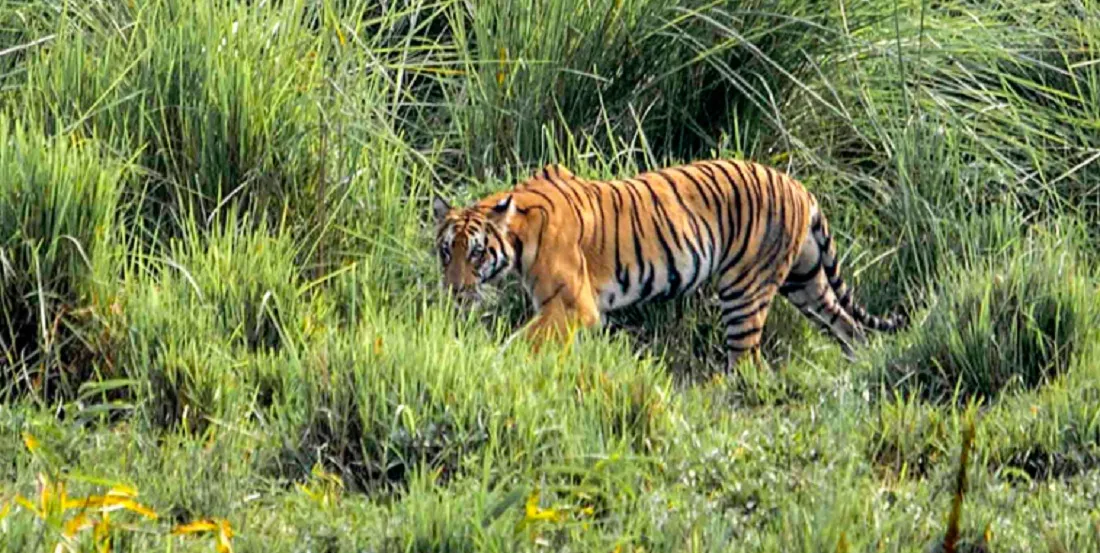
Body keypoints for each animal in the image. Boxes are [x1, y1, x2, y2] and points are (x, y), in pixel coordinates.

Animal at [433, 158, 906, 369]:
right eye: (446, 251)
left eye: (477, 252)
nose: (454, 290)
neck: (519, 233)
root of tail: (799, 187)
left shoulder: (570, 306)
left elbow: (520, 342)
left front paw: (490, 365)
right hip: (804, 280)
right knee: (849, 324)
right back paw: (858, 370)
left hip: (744, 289)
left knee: (747, 362)